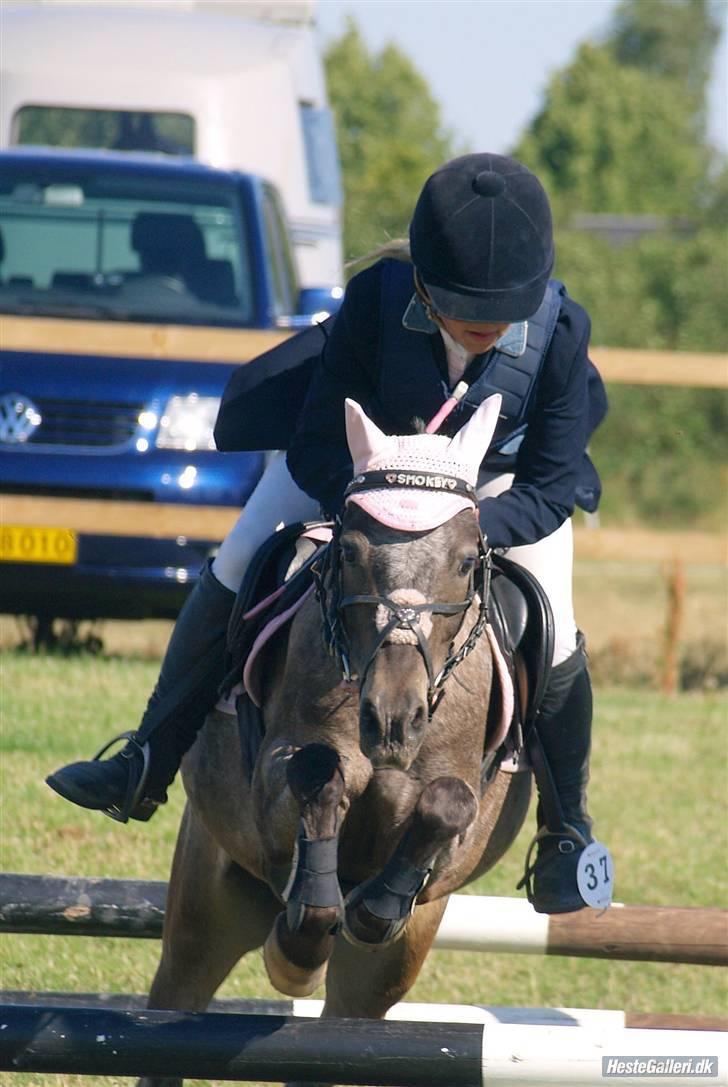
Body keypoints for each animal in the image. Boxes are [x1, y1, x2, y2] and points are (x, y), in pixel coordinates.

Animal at [140, 393, 532, 1087]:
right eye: (348, 550)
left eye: (466, 561)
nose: (393, 719)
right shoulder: (274, 783)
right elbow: (316, 775)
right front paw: (299, 942)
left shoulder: (455, 823)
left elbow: (445, 804)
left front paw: (374, 904)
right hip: (207, 902)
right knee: (175, 1001)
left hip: (389, 967)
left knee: (343, 1026)